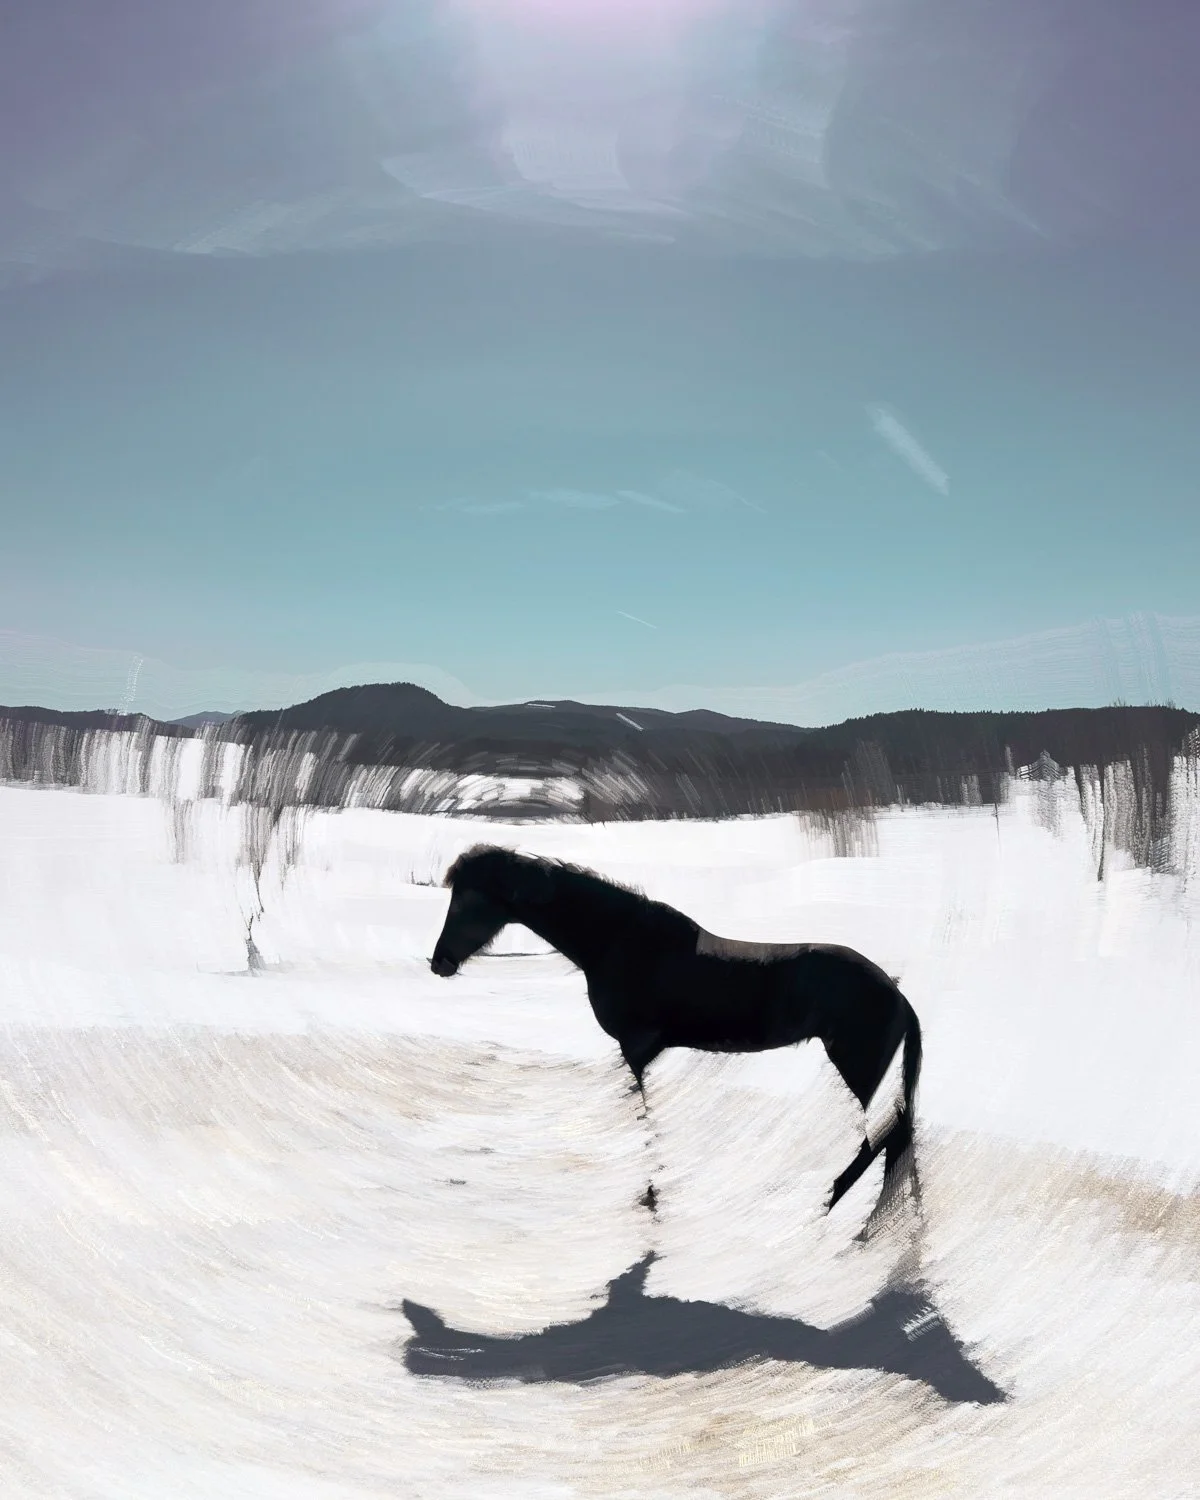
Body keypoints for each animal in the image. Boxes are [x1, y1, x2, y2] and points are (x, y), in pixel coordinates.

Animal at [429, 844, 923, 1229]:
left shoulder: (636, 1051)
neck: (618, 941)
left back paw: (835, 1206)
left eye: (469, 903)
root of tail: (897, 994)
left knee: (883, 1138)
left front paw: (650, 1197)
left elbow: (647, 1127)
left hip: (859, 1069)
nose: (440, 963)